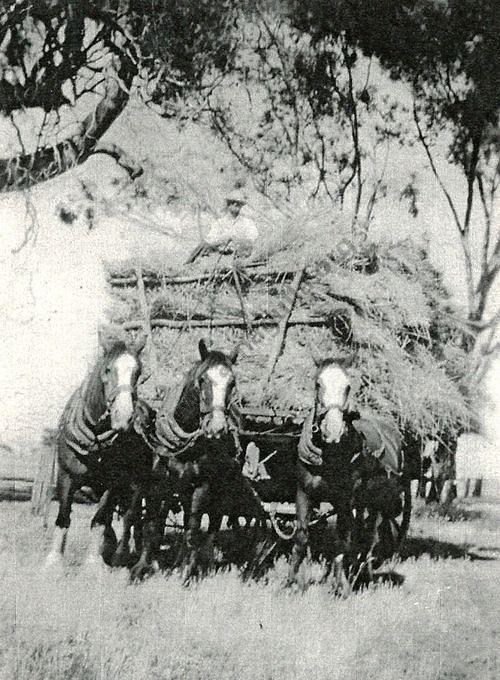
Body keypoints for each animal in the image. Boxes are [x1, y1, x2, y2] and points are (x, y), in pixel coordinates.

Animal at [45, 326, 152, 572]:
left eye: (138, 372)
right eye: (108, 369)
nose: (124, 416)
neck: (95, 441)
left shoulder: (112, 484)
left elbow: (100, 518)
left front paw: (93, 563)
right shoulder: (66, 476)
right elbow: (63, 516)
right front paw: (54, 561)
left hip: (138, 487)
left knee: (133, 517)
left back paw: (126, 554)